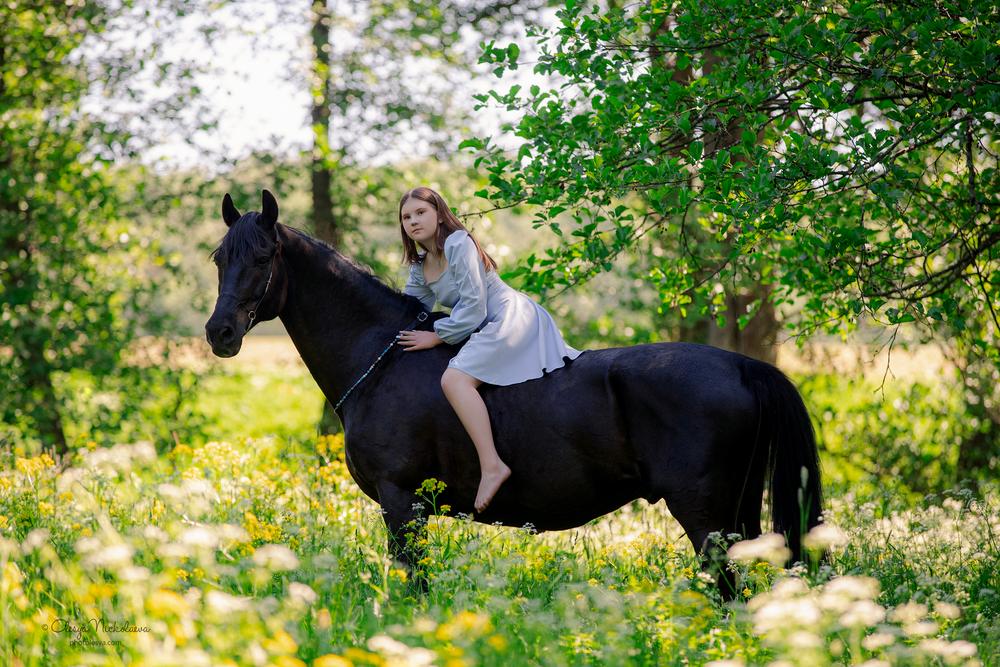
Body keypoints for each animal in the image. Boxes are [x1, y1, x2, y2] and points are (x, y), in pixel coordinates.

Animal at [204, 190, 823, 598]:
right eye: (219, 257)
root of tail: (744, 366)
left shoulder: (401, 503)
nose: (220, 333)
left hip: (705, 515)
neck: (381, 360)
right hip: (738, 513)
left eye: (263, 256)